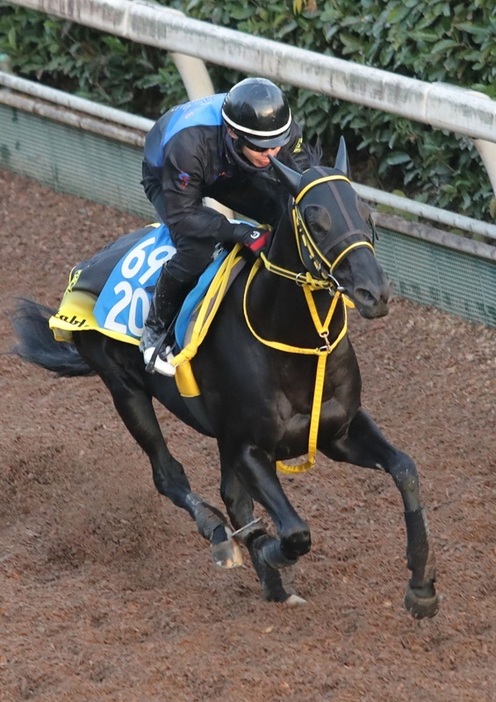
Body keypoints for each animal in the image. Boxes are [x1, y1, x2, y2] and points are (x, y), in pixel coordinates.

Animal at [11, 140, 438, 620]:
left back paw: (270, 581)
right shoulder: (249, 446)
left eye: (366, 213)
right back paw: (219, 534)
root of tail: (85, 270)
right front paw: (267, 549)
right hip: (125, 389)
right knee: (170, 476)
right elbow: (295, 532)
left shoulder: (338, 431)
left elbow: (405, 469)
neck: (293, 341)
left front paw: (421, 586)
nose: (374, 292)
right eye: (314, 220)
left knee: (231, 496)